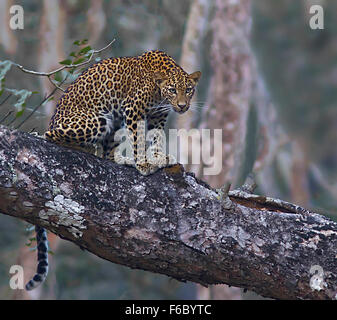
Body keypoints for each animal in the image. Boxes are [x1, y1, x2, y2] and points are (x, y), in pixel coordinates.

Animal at [26, 50, 201, 290]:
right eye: (173, 90)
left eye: (189, 90)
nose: (183, 106)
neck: (159, 92)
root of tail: (52, 121)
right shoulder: (134, 109)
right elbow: (137, 139)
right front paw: (143, 164)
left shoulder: (158, 117)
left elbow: (156, 138)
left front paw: (158, 158)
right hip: (98, 119)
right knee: (51, 137)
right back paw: (88, 149)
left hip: (113, 122)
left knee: (106, 152)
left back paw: (119, 160)